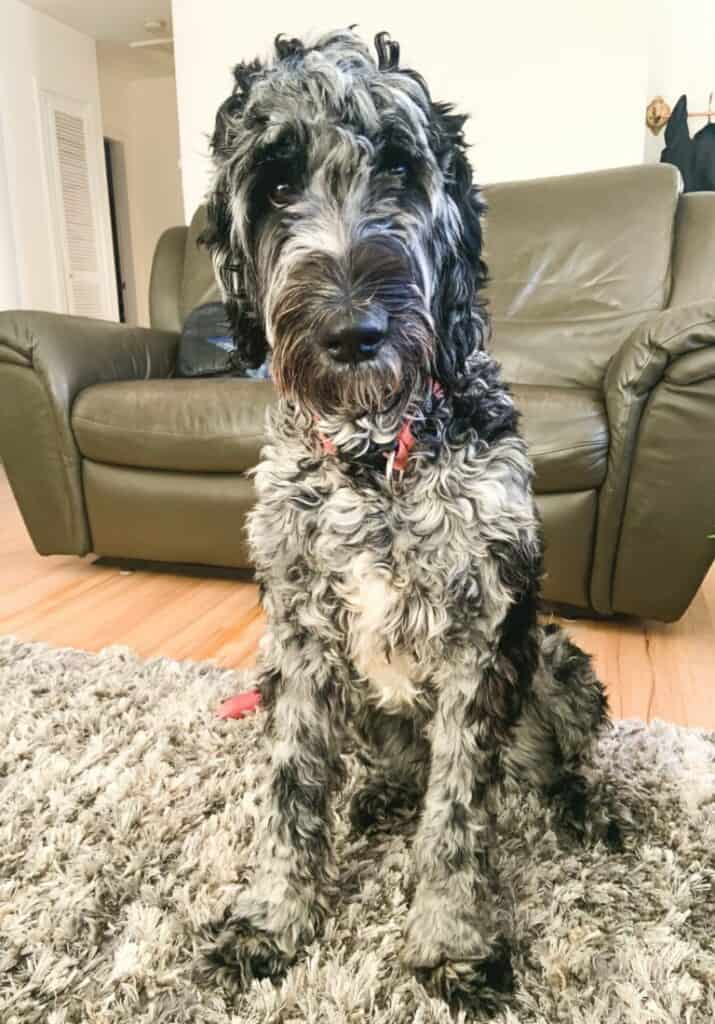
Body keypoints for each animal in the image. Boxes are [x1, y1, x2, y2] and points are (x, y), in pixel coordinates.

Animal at [198, 25, 606, 1007]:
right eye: (274, 185)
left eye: (398, 168)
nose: (354, 332)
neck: (374, 459)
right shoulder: (298, 636)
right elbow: (289, 788)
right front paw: (274, 916)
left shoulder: (480, 636)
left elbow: (456, 810)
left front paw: (450, 939)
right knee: (392, 766)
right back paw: (379, 794)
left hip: (554, 656)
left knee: (550, 759)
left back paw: (581, 808)